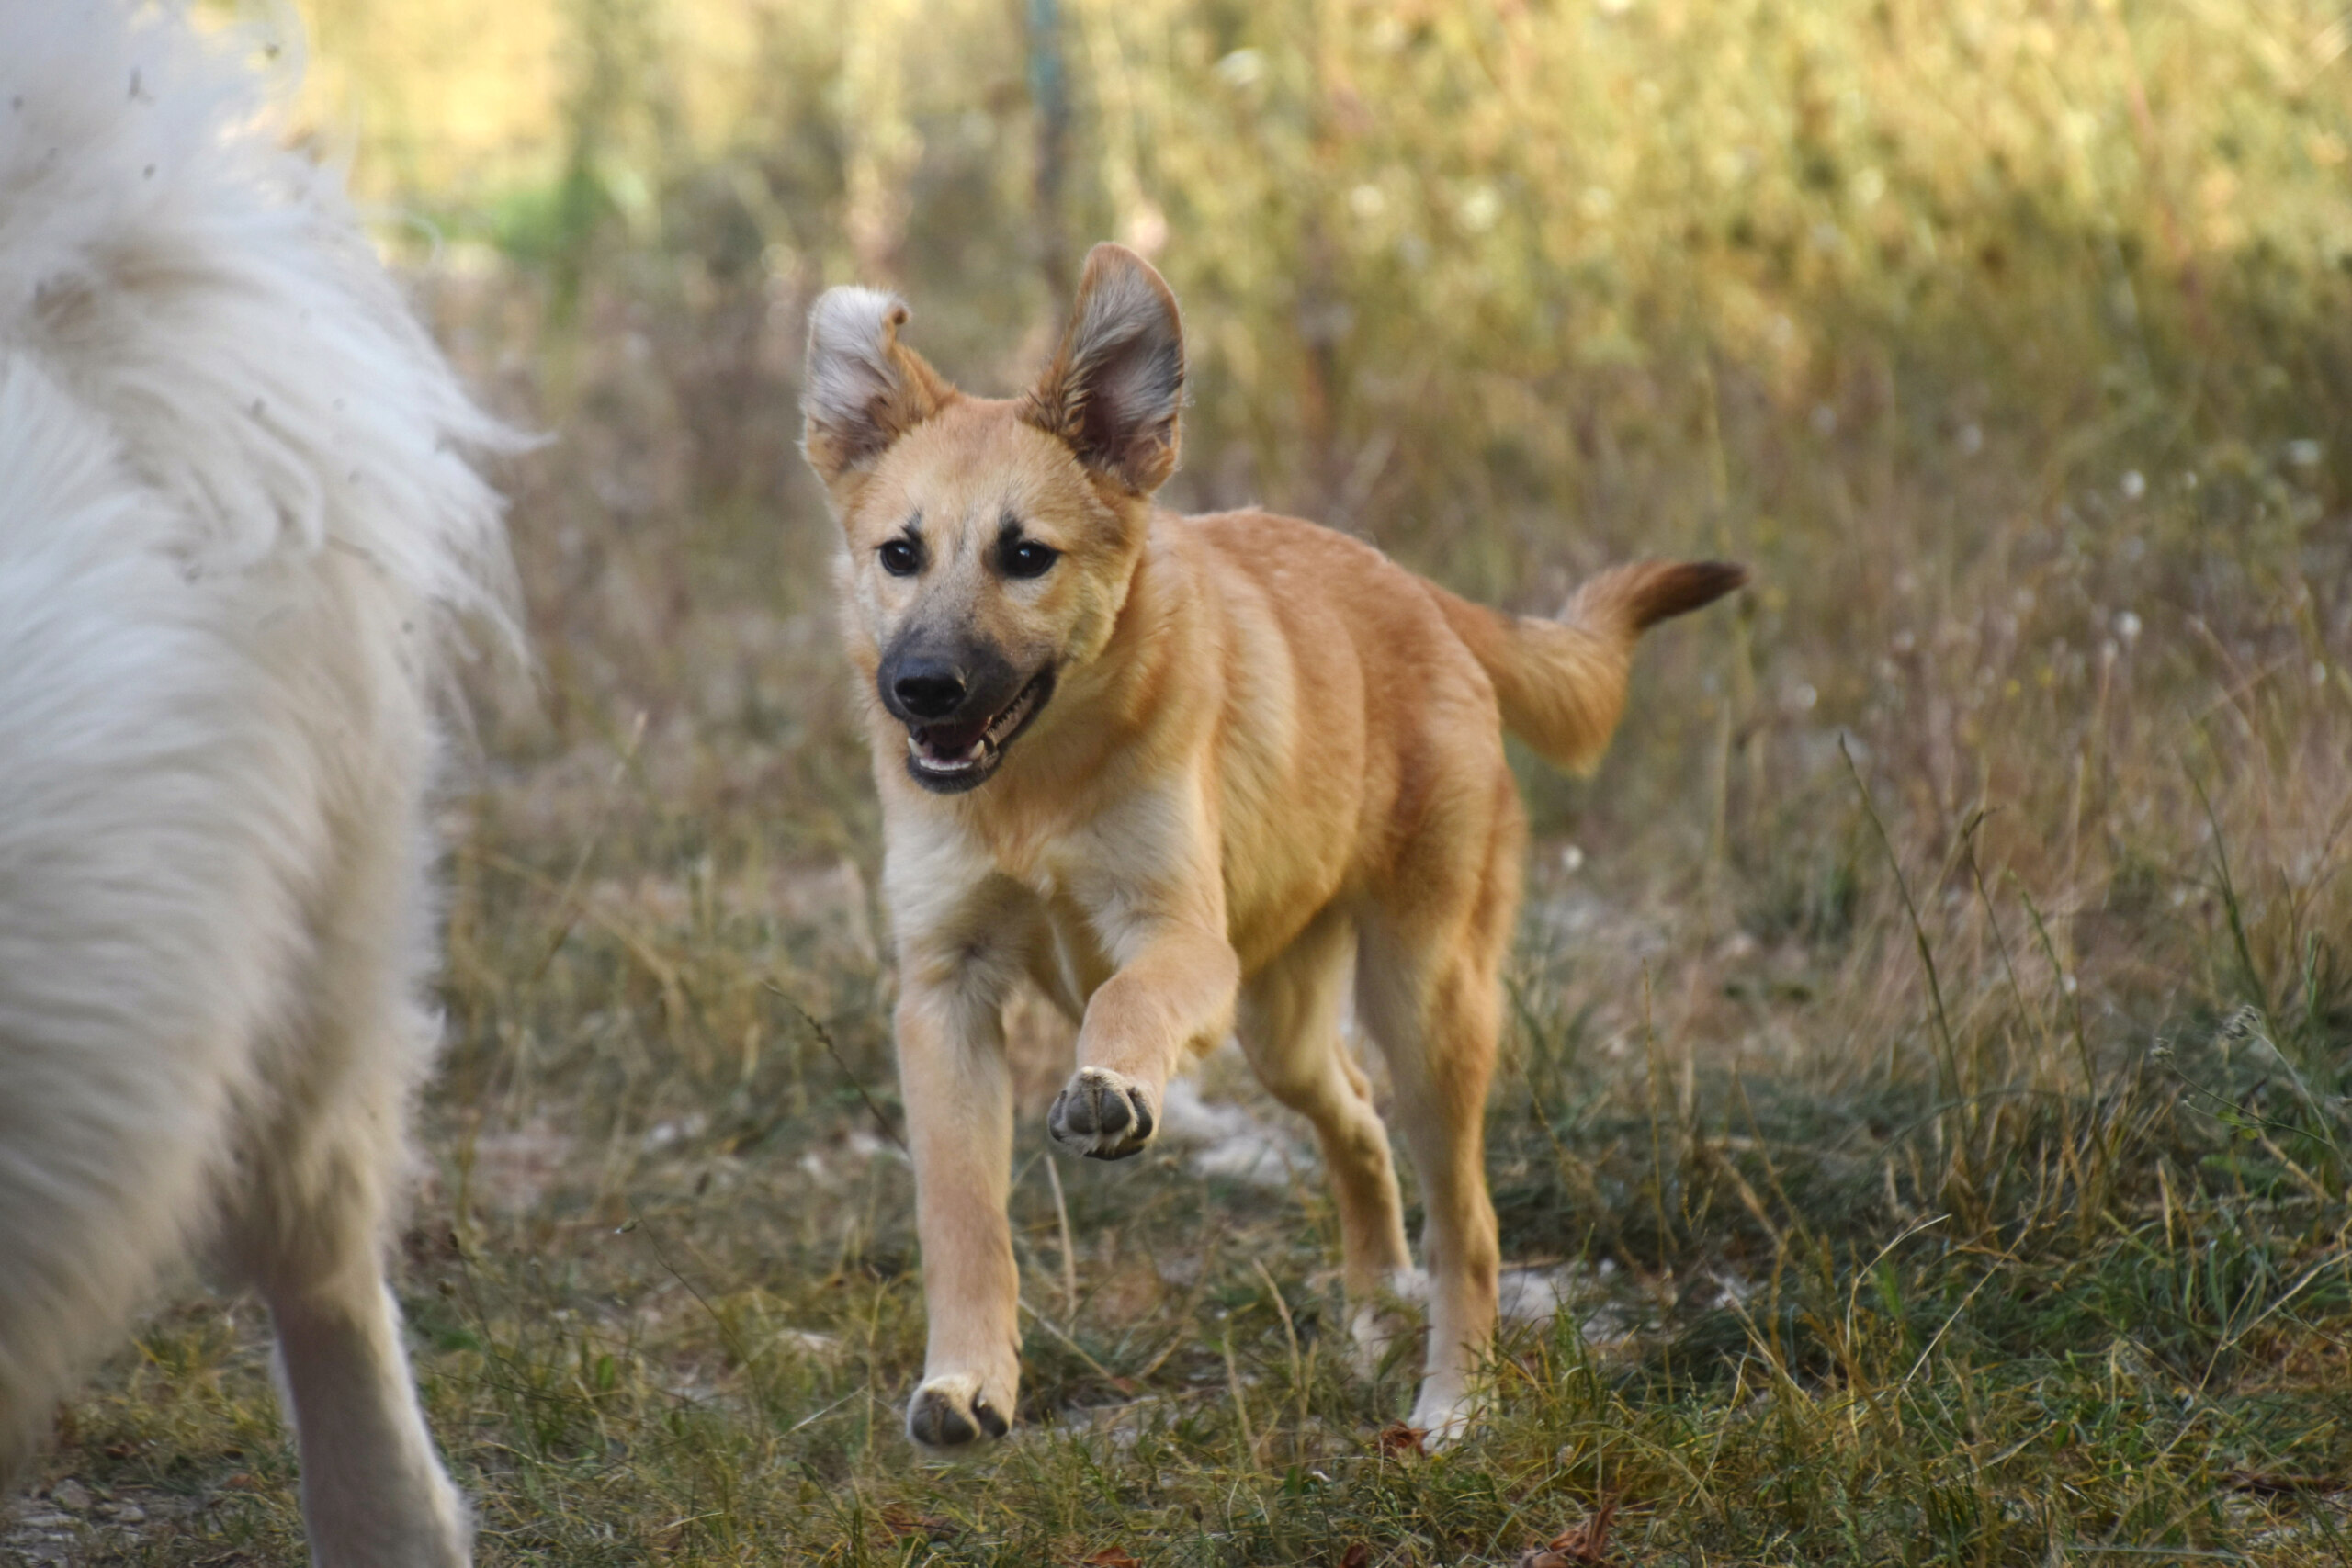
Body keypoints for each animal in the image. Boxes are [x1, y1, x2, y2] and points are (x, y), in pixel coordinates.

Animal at [808, 245, 1749, 1457]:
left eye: (1025, 556)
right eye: (900, 554)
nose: (920, 691)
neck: (1034, 791)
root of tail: (1419, 594)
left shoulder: (1178, 943)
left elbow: (1123, 1003)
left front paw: (1110, 1089)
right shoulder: (944, 992)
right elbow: (961, 1215)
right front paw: (968, 1378)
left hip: (1425, 1004)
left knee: (1469, 1223)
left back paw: (1456, 1402)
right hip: (1283, 1030)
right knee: (1352, 1116)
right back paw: (1375, 1299)